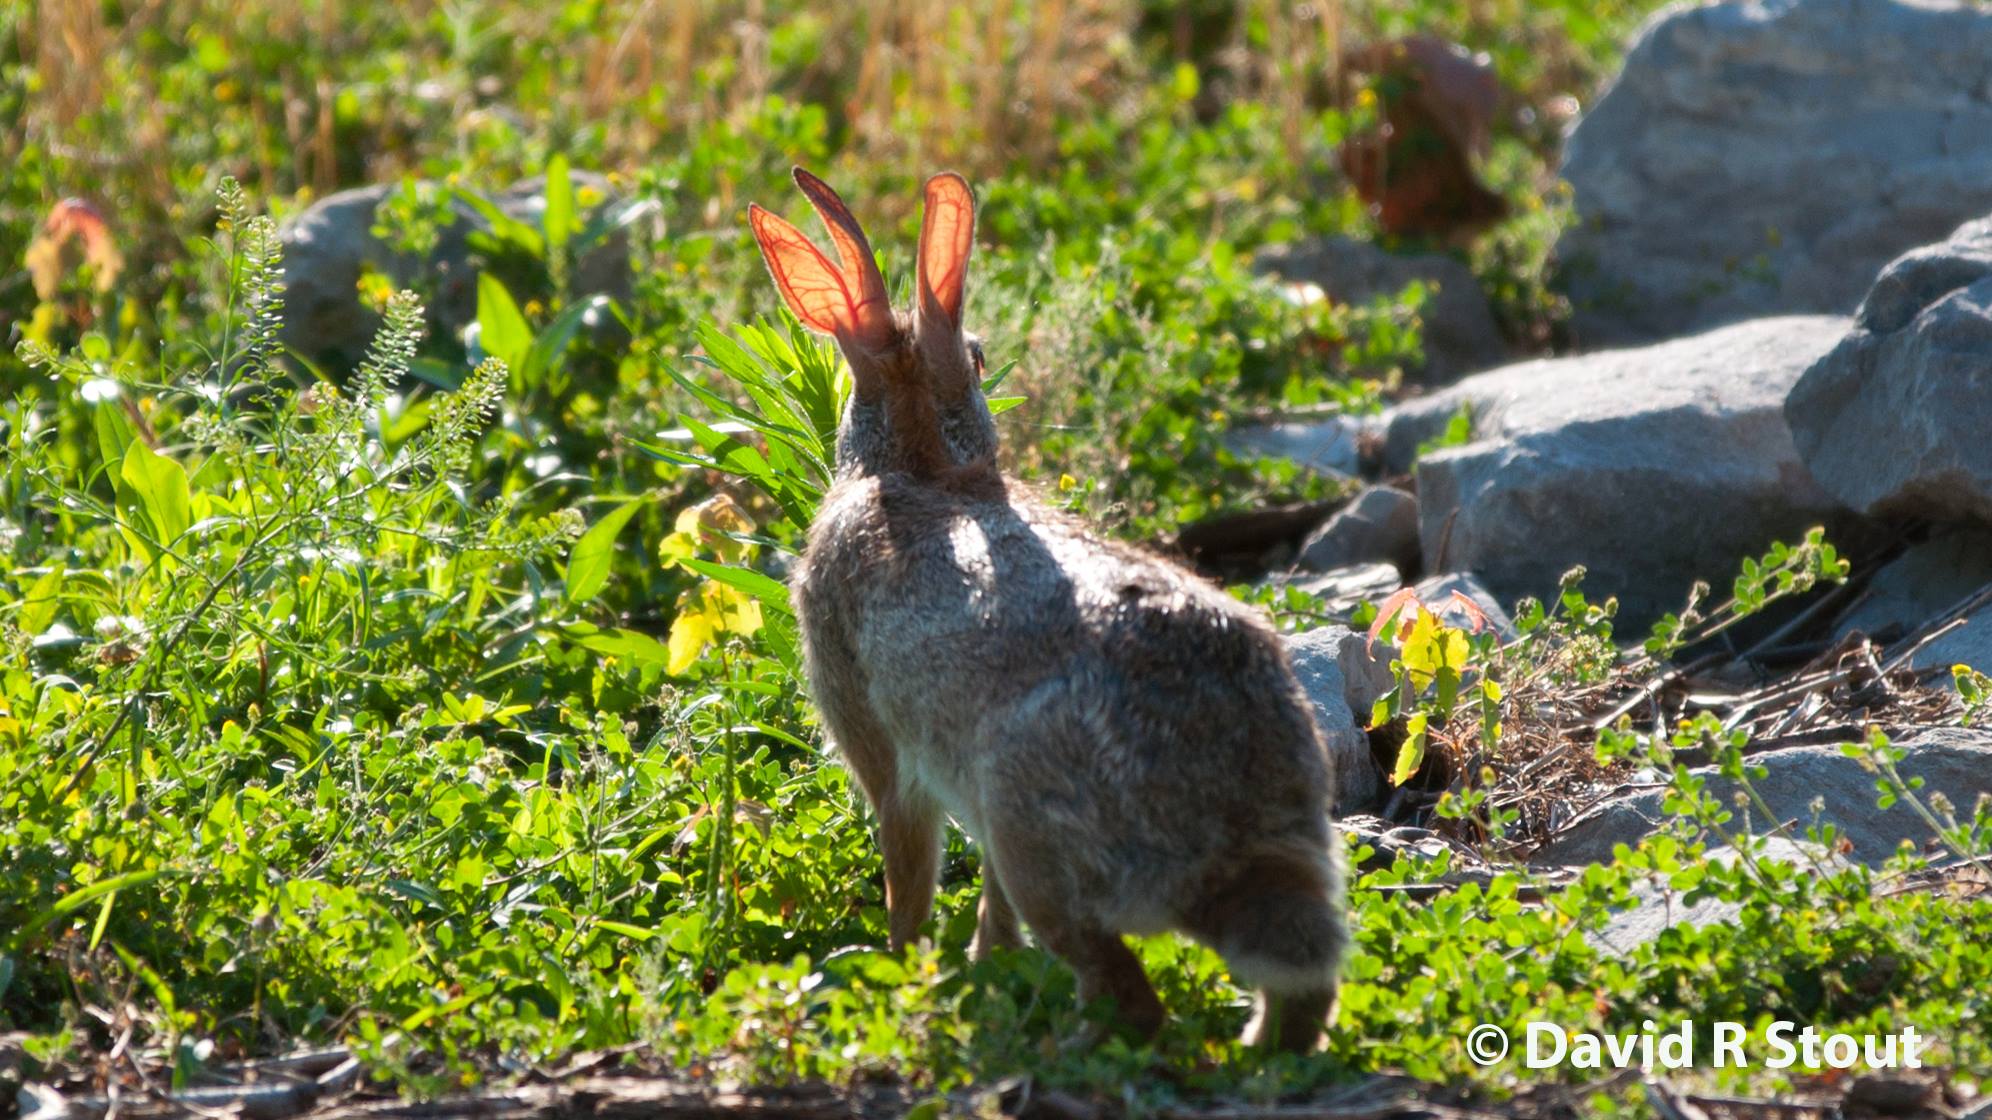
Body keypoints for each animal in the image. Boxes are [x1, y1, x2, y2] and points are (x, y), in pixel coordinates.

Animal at [747, 168, 1348, 1053]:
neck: (922, 467)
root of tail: (1230, 834)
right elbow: (987, 907)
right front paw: (982, 964)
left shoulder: (884, 751)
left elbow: (907, 866)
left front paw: (904, 964)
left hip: (1027, 819)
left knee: (1126, 993)